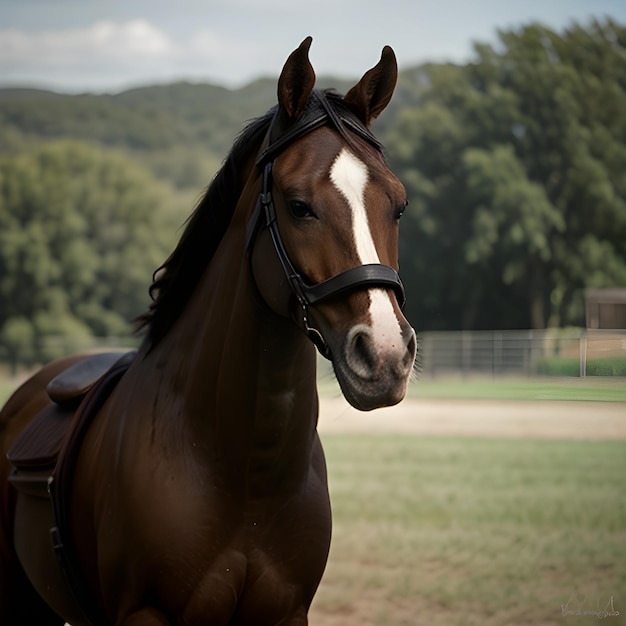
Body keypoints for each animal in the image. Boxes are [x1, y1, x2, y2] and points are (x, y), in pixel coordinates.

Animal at [1, 39, 420, 624]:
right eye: (298, 205)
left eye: (398, 206)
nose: (384, 356)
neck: (245, 474)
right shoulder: (148, 613)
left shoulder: (288, 613)